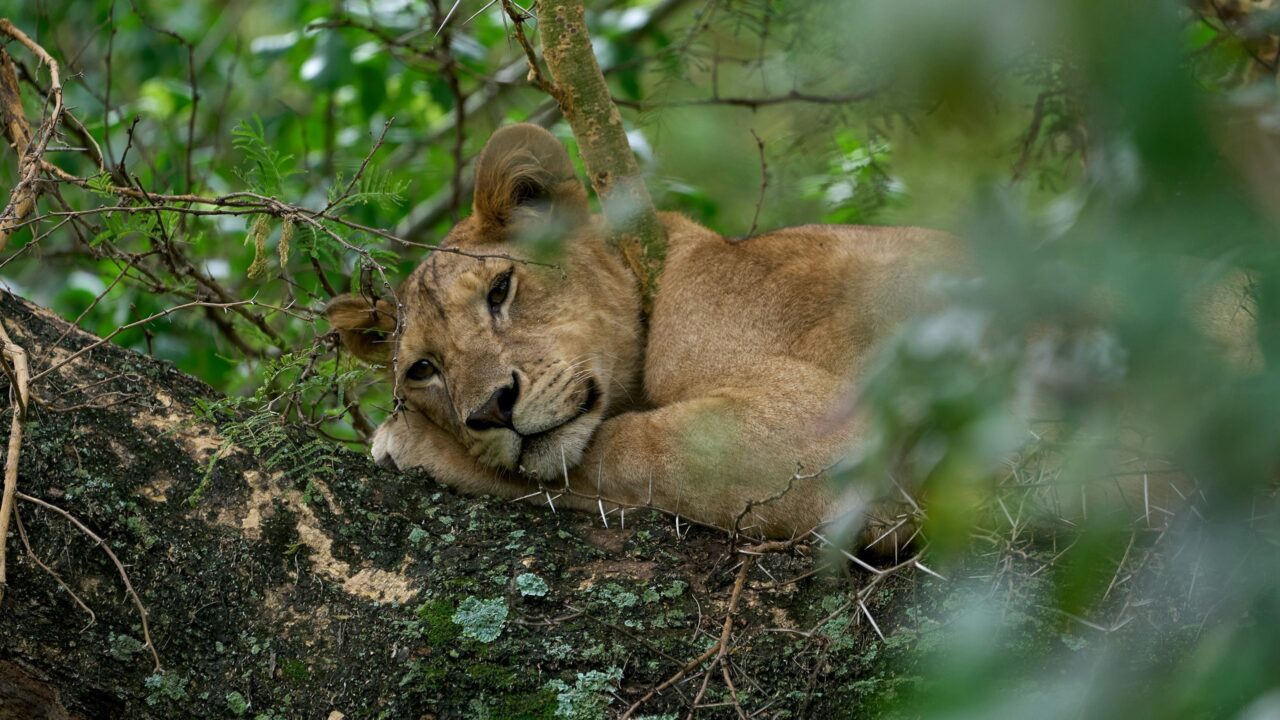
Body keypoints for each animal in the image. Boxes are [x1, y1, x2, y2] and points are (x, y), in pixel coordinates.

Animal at [325, 123, 1256, 543]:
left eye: (502, 290)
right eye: (423, 369)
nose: (489, 411)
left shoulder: (827, 436)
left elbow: (625, 454)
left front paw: (412, 446)